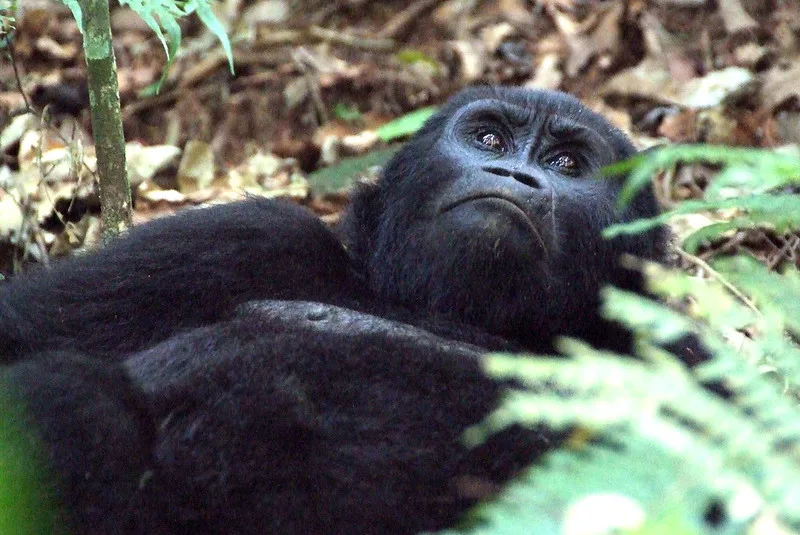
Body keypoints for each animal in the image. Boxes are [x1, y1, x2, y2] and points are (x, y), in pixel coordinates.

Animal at [0, 88, 688, 535]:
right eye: (489, 138)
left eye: (565, 163)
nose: (510, 174)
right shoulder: (241, 237)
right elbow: (23, 329)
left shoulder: (678, 351)